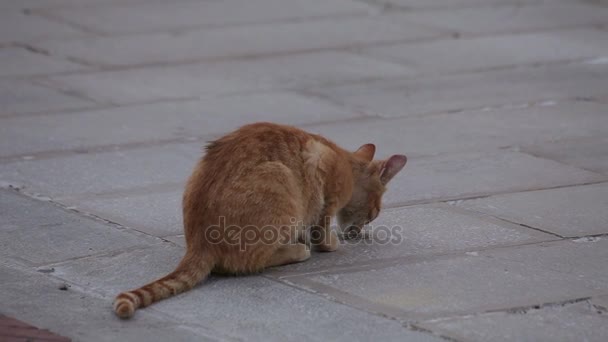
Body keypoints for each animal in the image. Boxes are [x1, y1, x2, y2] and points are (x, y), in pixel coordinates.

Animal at [114, 122, 408, 318]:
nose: (361, 229)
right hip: (280, 181)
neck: (346, 162)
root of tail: (198, 243)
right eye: (375, 211)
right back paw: (296, 250)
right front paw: (327, 243)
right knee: (251, 261)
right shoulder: (324, 179)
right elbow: (321, 230)